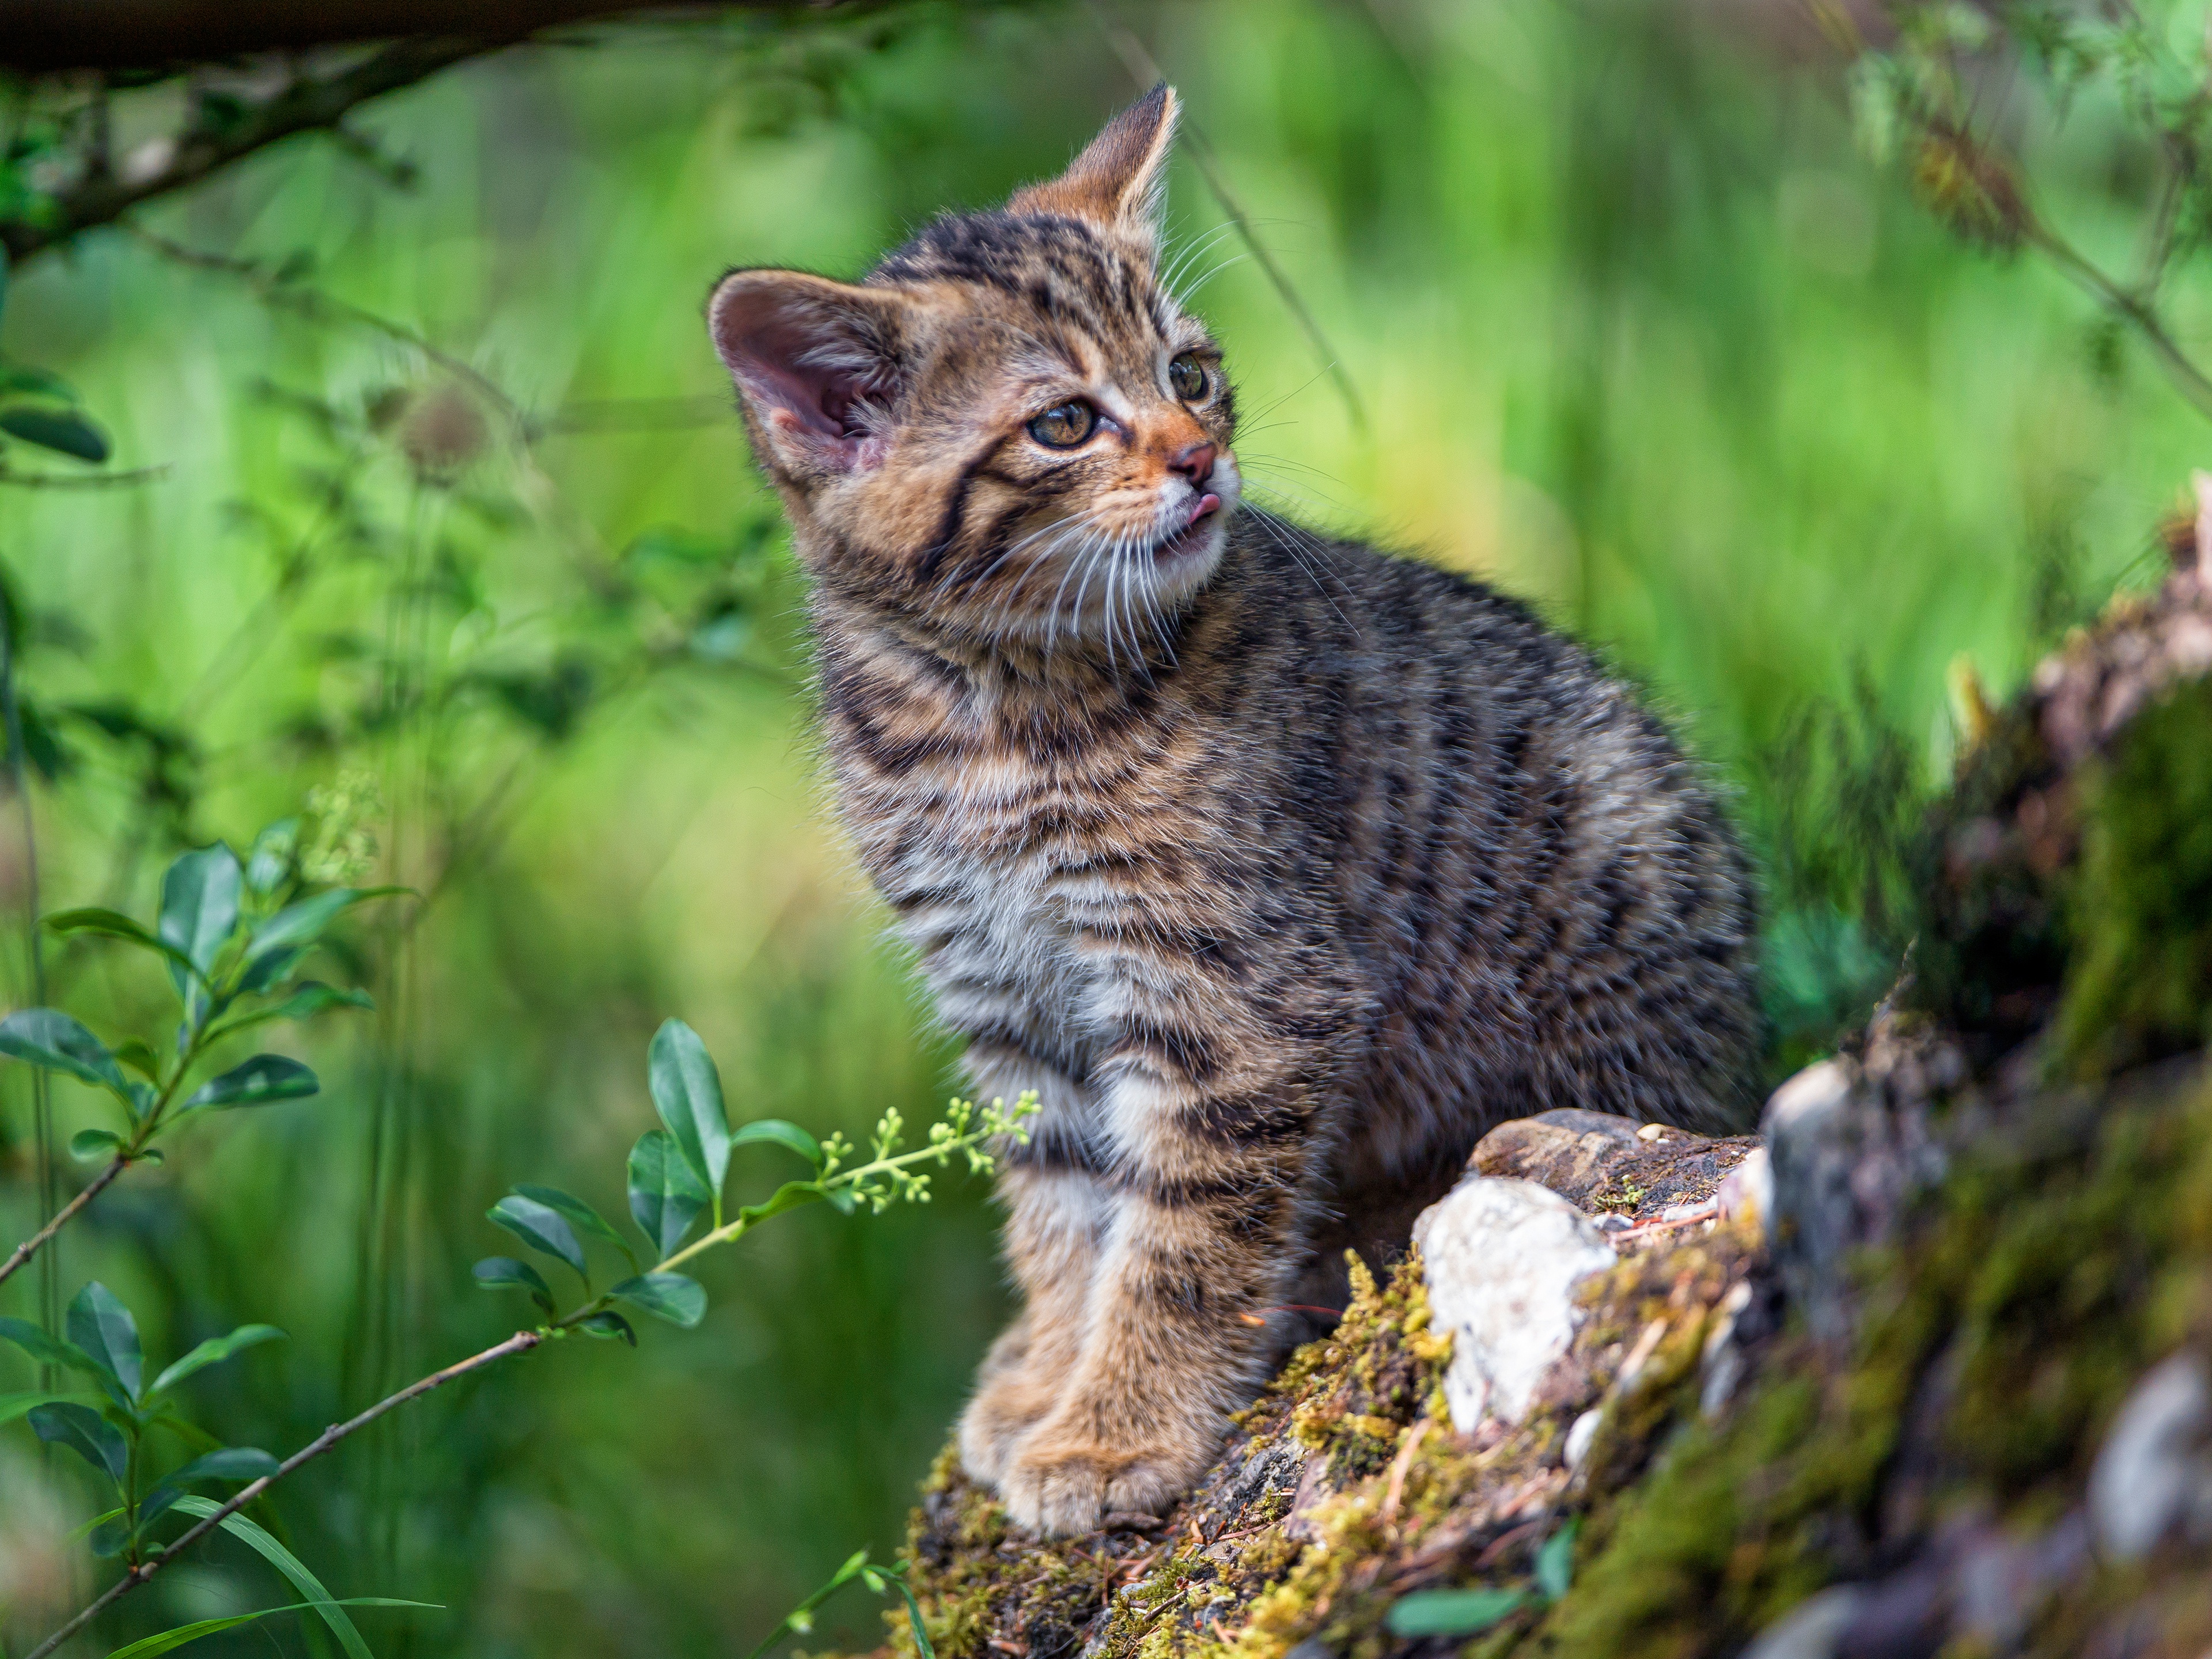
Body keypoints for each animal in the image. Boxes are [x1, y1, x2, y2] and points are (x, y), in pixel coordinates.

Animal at [707, 88, 1760, 1548]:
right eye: (1064, 424)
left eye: (1189, 373)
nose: (1203, 457)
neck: (989, 712)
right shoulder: (1005, 989)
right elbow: (1061, 1205)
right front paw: (1048, 1370)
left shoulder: (1243, 995)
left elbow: (1181, 1233)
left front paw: (1113, 1428)